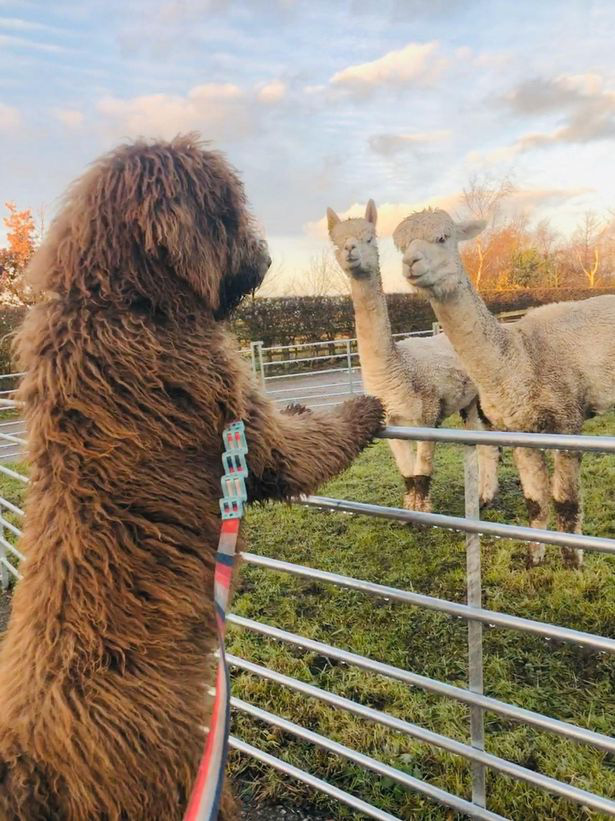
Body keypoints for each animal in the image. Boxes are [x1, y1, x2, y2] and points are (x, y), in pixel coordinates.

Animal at [0, 136, 384, 820]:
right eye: (227, 215)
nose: (264, 257)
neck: (119, 300)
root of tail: (29, 764)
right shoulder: (236, 419)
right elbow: (303, 449)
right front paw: (365, 409)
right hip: (181, 773)